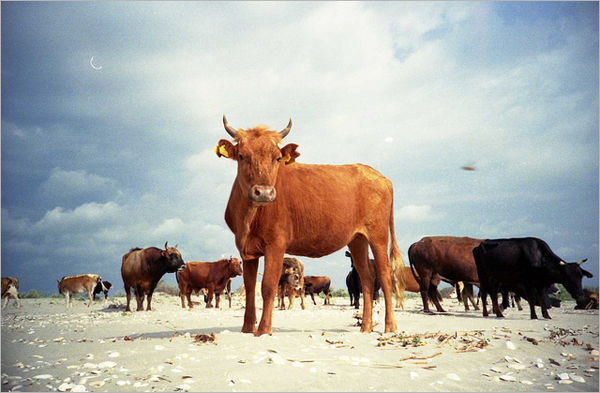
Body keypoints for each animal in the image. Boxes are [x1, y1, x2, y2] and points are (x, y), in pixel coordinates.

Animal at [213, 115, 406, 334]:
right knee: (367, 277)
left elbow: (268, 286)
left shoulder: (276, 243)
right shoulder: (246, 249)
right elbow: (250, 287)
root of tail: (379, 176)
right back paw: (365, 326)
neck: (249, 218)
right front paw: (247, 328)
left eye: (277, 158)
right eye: (242, 156)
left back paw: (389, 325)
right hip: (357, 239)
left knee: (385, 275)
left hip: (379, 235)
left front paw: (262, 330)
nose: (263, 192)